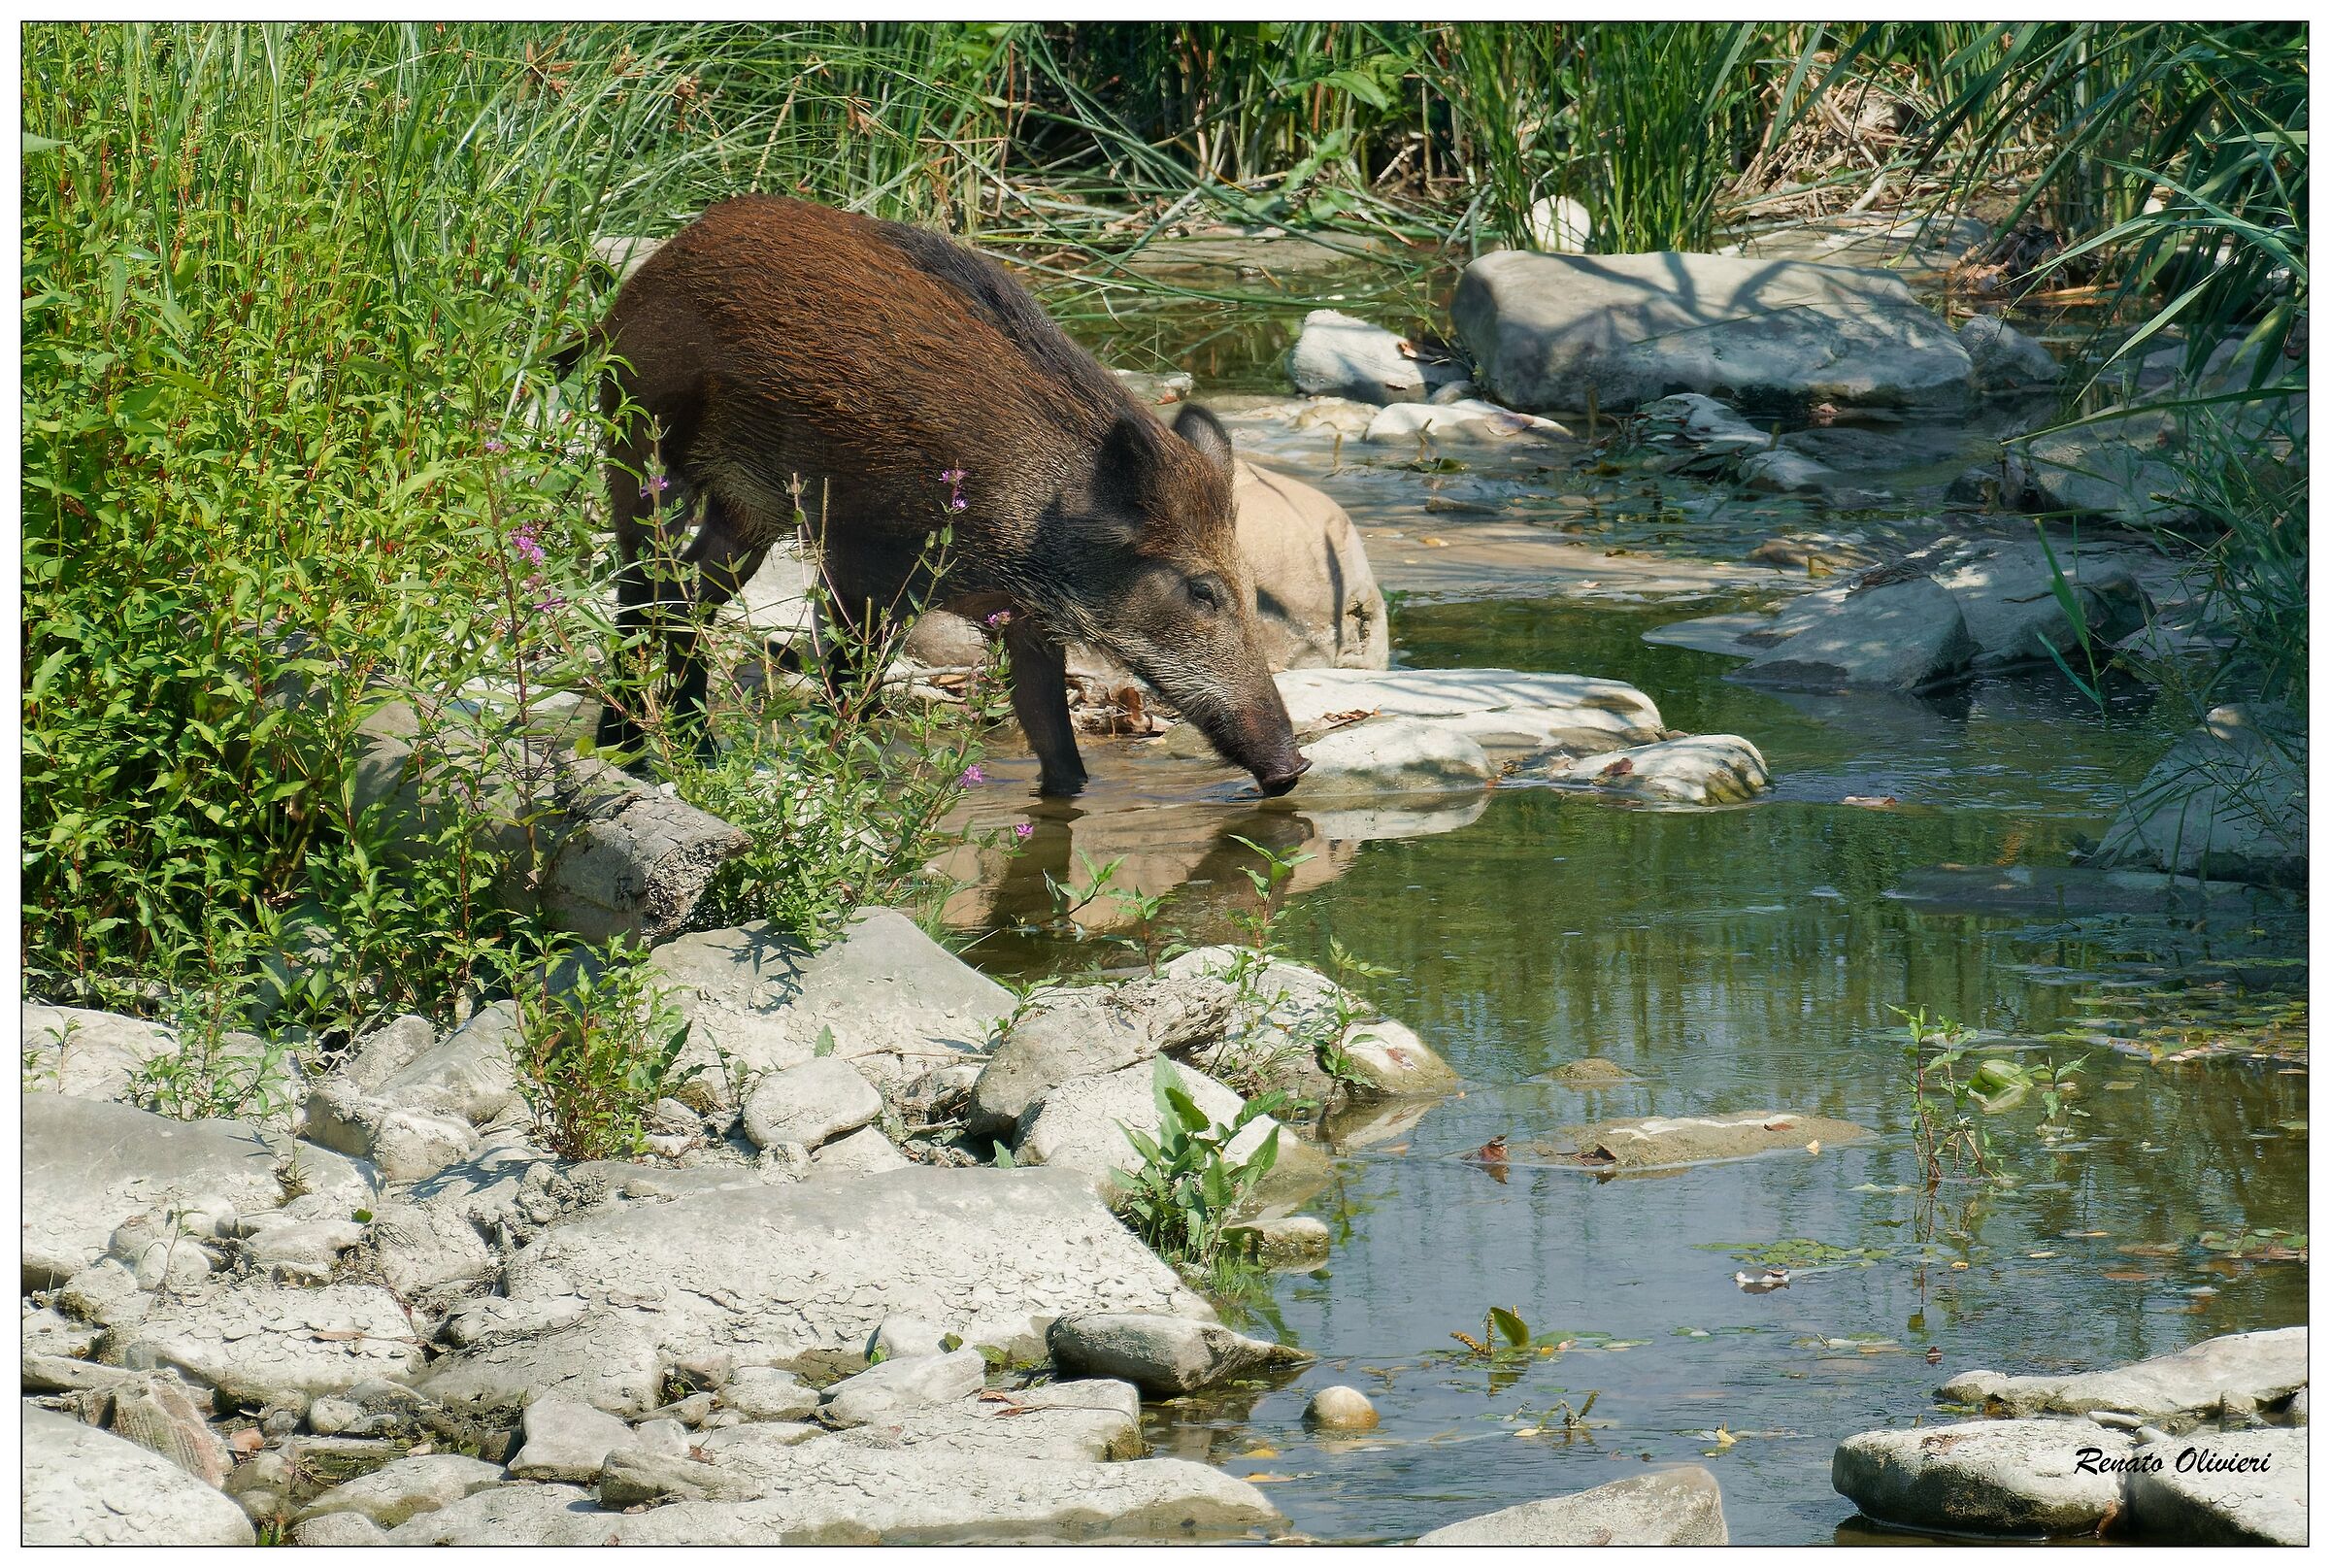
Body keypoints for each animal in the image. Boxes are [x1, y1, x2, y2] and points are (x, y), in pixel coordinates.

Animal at [565, 194, 1309, 798]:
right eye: (1201, 591)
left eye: (1250, 586)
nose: (1292, 767)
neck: (1033, 524)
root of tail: (643, 277)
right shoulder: (858, 563)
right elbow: (852, 686)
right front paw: (852, 778)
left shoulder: (1024, 620)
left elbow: (1051, 733)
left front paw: (1066, 795)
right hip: (640, 447)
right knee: (640, 587)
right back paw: (625, 748)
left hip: (749, 511)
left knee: (686, 594)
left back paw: (696, 749)